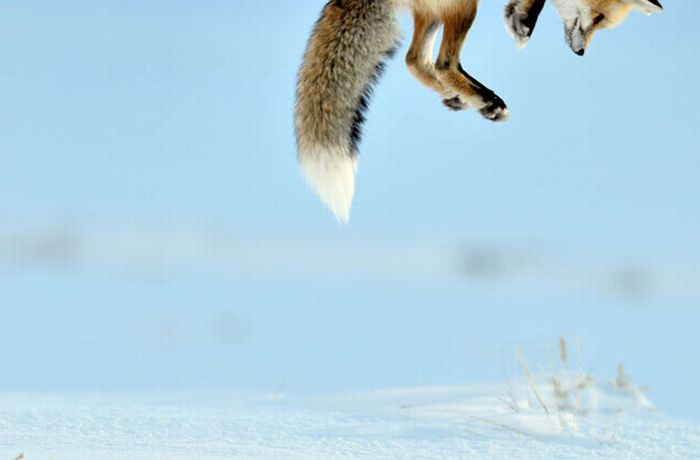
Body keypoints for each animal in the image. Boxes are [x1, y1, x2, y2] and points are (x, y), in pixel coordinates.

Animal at [294, 0, 660, 223]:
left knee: (415, 61)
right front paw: (523, 20)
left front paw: (519, 15)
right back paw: (482, 98)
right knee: (442, 62)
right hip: (464, 7)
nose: (581, 53)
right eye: (598, 17)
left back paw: (469, 100)